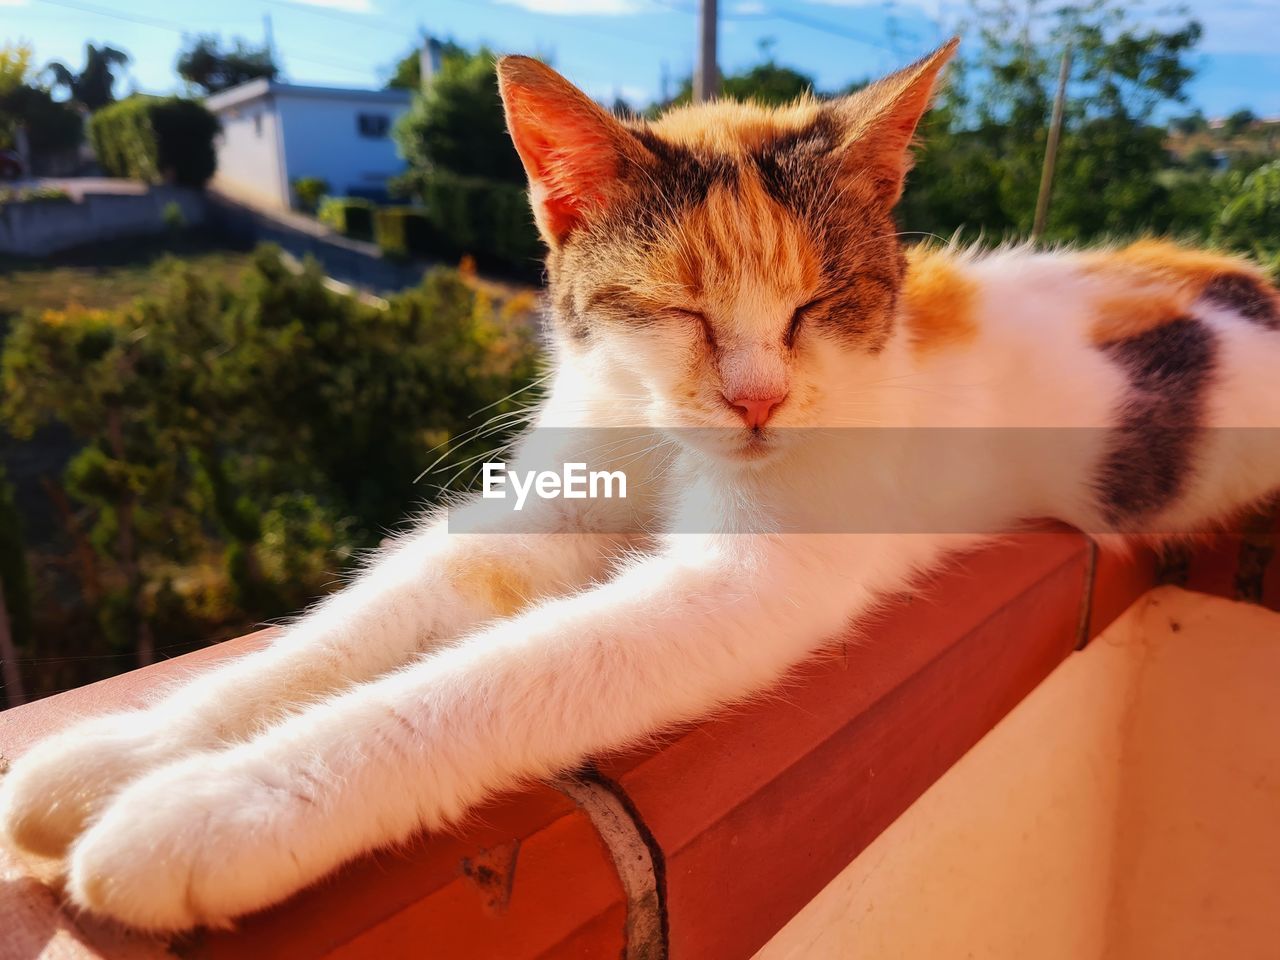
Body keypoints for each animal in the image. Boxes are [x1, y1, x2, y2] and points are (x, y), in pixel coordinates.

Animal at [2, 41, 1280, 936]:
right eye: (676, 309)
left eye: (818, 304)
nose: (759, 400)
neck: (668, 445)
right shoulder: (531, 514)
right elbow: (344, 630)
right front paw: (110, 758)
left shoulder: (742, 581)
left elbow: (491, 678)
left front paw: (208, 812)